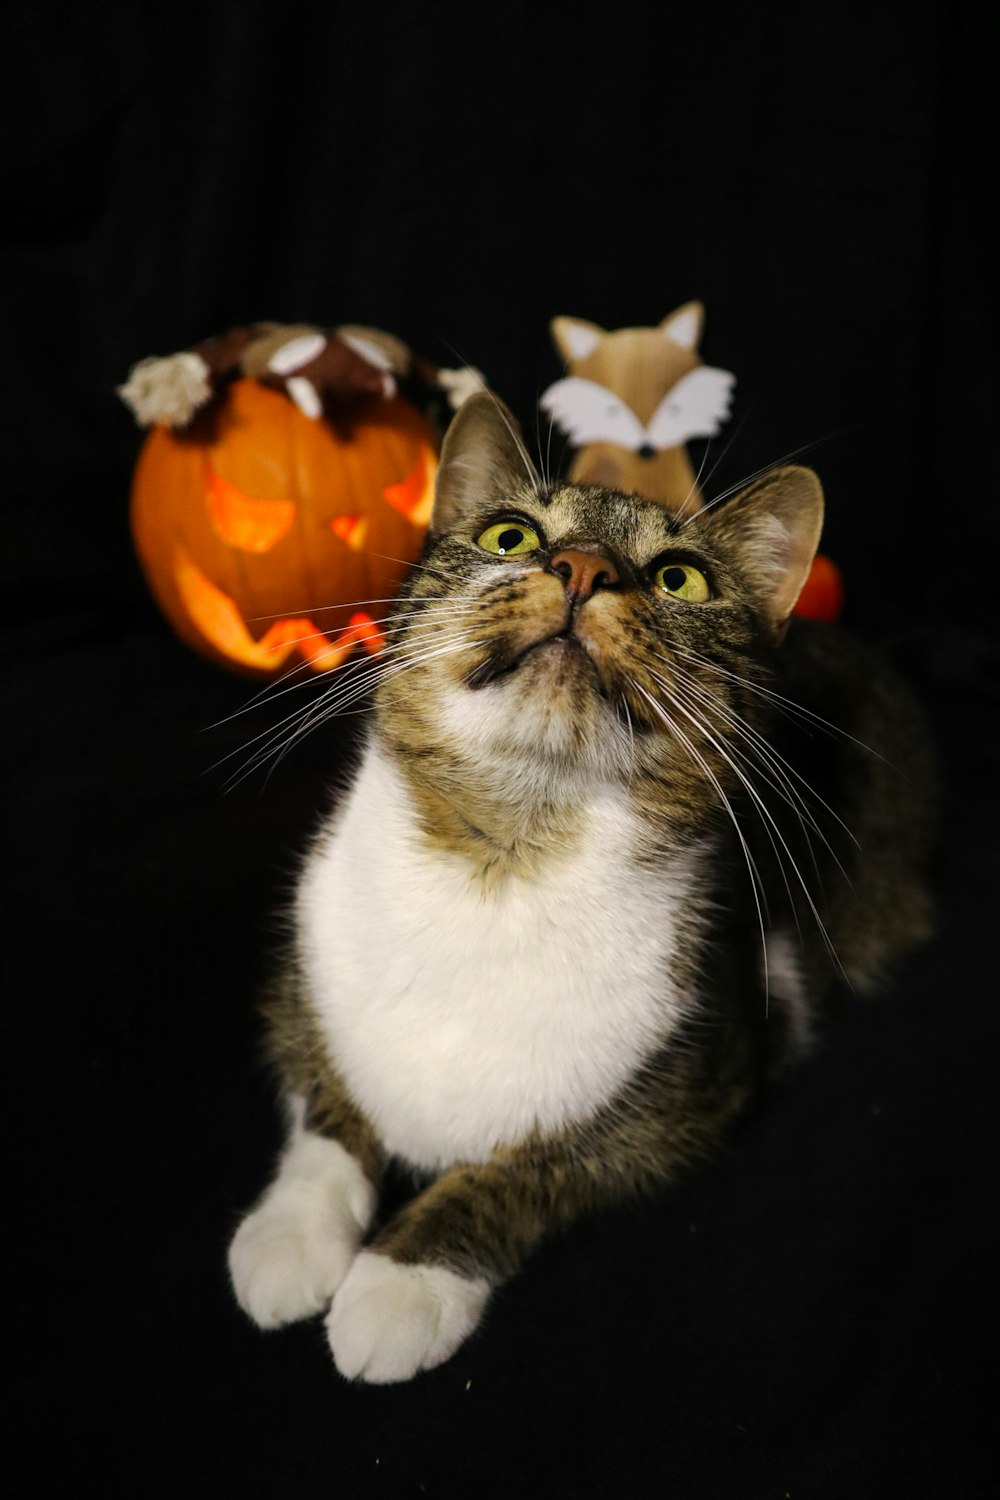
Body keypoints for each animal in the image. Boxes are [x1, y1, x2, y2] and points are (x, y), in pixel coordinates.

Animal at [226, 390, 929, 1380]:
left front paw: (403, 1281)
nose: (584, 565)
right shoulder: (306, 984)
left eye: (679, 579)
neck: (500, 864)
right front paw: (290, 1236)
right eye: (510, 535)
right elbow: (328, 1106)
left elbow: (526, 1171)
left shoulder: (694, 1091)